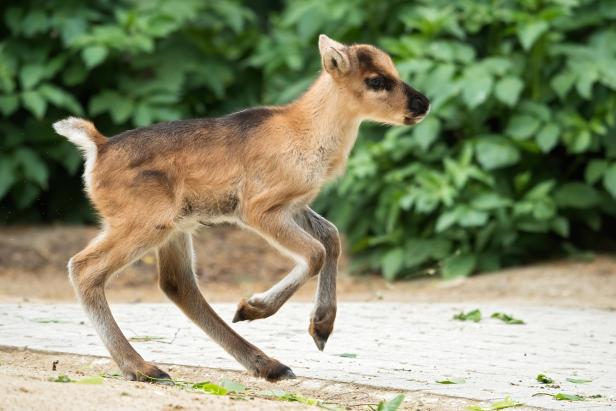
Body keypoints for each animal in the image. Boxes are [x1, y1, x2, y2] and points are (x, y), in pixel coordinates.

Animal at [53, 34, 428, 384]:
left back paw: (269, 365)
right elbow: (316, 252)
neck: (304, 133)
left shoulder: (294, 204)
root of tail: (97, 148)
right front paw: (253, 307)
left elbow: (332, 237)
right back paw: (143, 368)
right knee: (83, 267)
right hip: (145, 221)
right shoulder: (257, 208)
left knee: (178, 283)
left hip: (173, 227)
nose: (423, 103)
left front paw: (320, 328)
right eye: (376, 80)